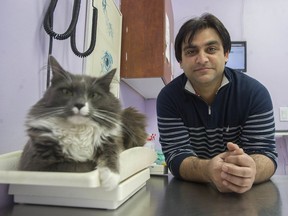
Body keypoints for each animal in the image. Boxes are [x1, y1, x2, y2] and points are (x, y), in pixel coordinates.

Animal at [17, 56, 147, 191]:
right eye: (66, 92)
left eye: (93, 95)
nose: (79, 104)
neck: (79, 130)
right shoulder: (37, 164)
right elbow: (79, 166)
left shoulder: (112, 142)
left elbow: (111, 154)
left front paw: (110, 180)